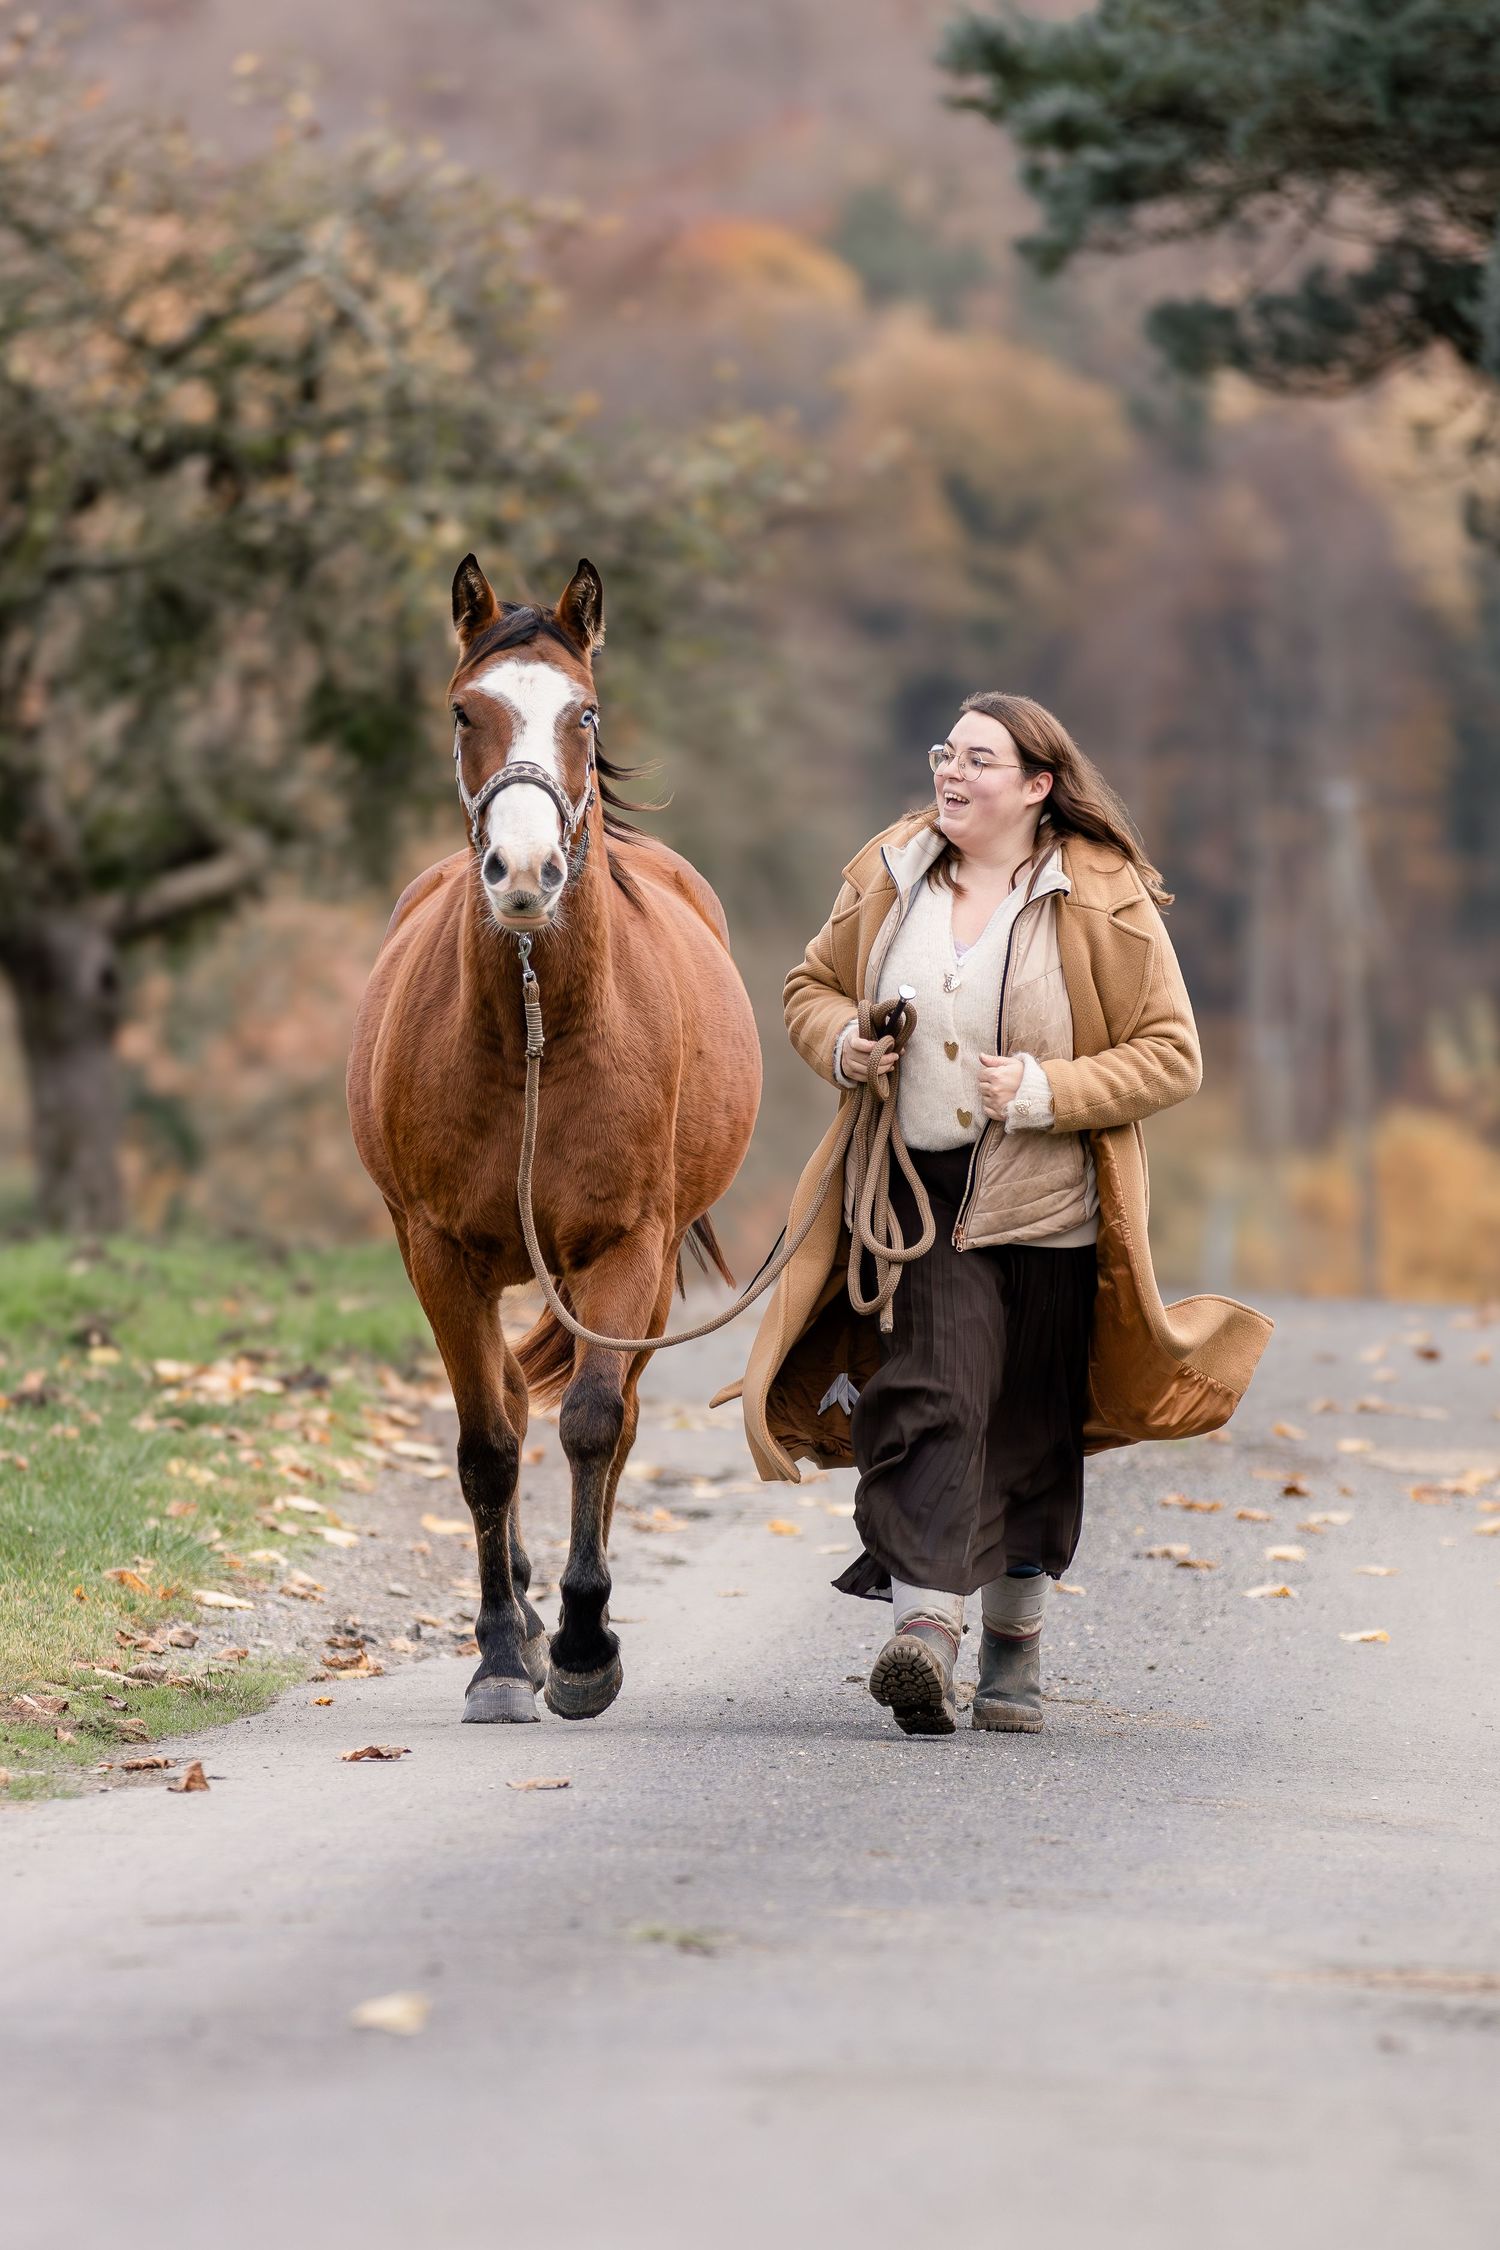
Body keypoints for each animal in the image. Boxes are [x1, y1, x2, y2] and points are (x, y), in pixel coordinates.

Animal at [348, 555, 762, 1724]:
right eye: (463, 710)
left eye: (586, 712)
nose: (525, 873)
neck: (536, 1027)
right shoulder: (439, 1254)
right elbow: (490, 1444)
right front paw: (502, 1651)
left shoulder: (626, 1248)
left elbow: (588, 1422)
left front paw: (585, 1646)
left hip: (642, 1273)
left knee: (615, 1420)